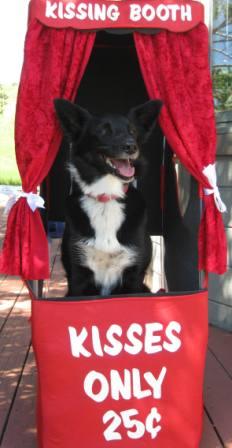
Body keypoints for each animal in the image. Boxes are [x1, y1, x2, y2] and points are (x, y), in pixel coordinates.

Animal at [54, 98, 162, 298]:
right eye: (103, 131)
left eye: (132, 131)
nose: (131, 146)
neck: (107, 196)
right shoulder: (78, 277)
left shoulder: (134, 277)